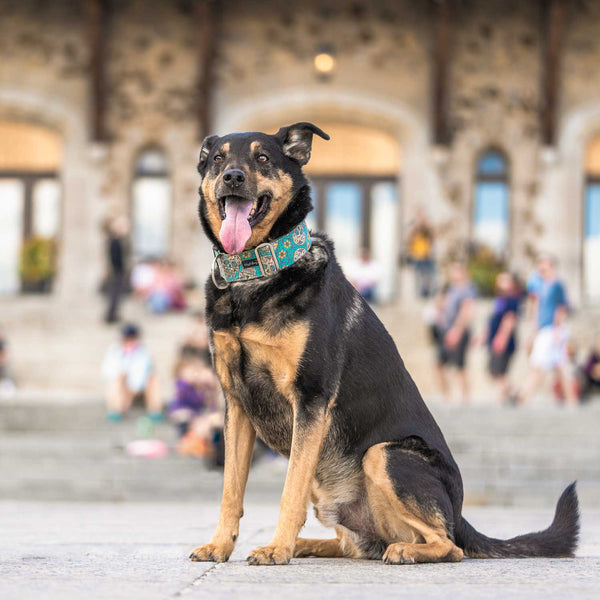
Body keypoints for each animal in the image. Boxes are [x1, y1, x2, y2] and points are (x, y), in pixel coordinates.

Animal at [190, 123, 580, 568]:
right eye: (218, 159)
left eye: (262, 158)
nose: (232, 178)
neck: (254, 275)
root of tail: (460, 512)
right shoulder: (236, 404)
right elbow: (230, 490)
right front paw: (220, 545)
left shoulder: (310, 399)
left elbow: (290, 491)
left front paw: (276, 549)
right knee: (355, 545)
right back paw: (312, 544)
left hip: (384, 454)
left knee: (449, 545)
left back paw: (402, 550)